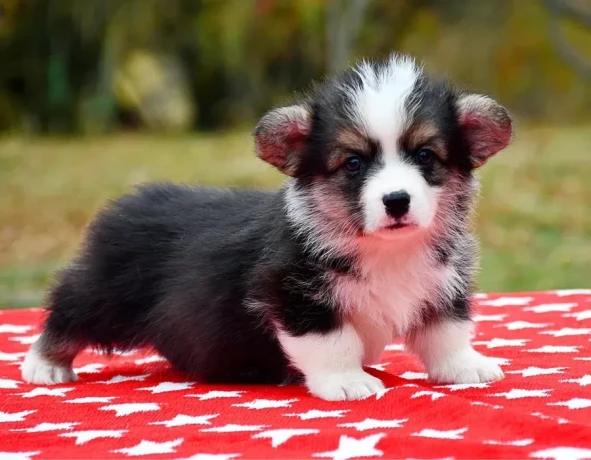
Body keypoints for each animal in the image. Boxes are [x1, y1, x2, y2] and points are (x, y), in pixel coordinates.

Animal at [22, 53, 512, 398]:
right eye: (353, 163)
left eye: (426, 156)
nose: (396, 201)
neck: (384, 249)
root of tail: (130, 200)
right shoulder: (293, 292)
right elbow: (334, 341)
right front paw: (348, 381)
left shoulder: (442, 285)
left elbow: (446, 333)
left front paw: (465, 366)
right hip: (107, 296)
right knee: (68, 307)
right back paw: (45, 362)